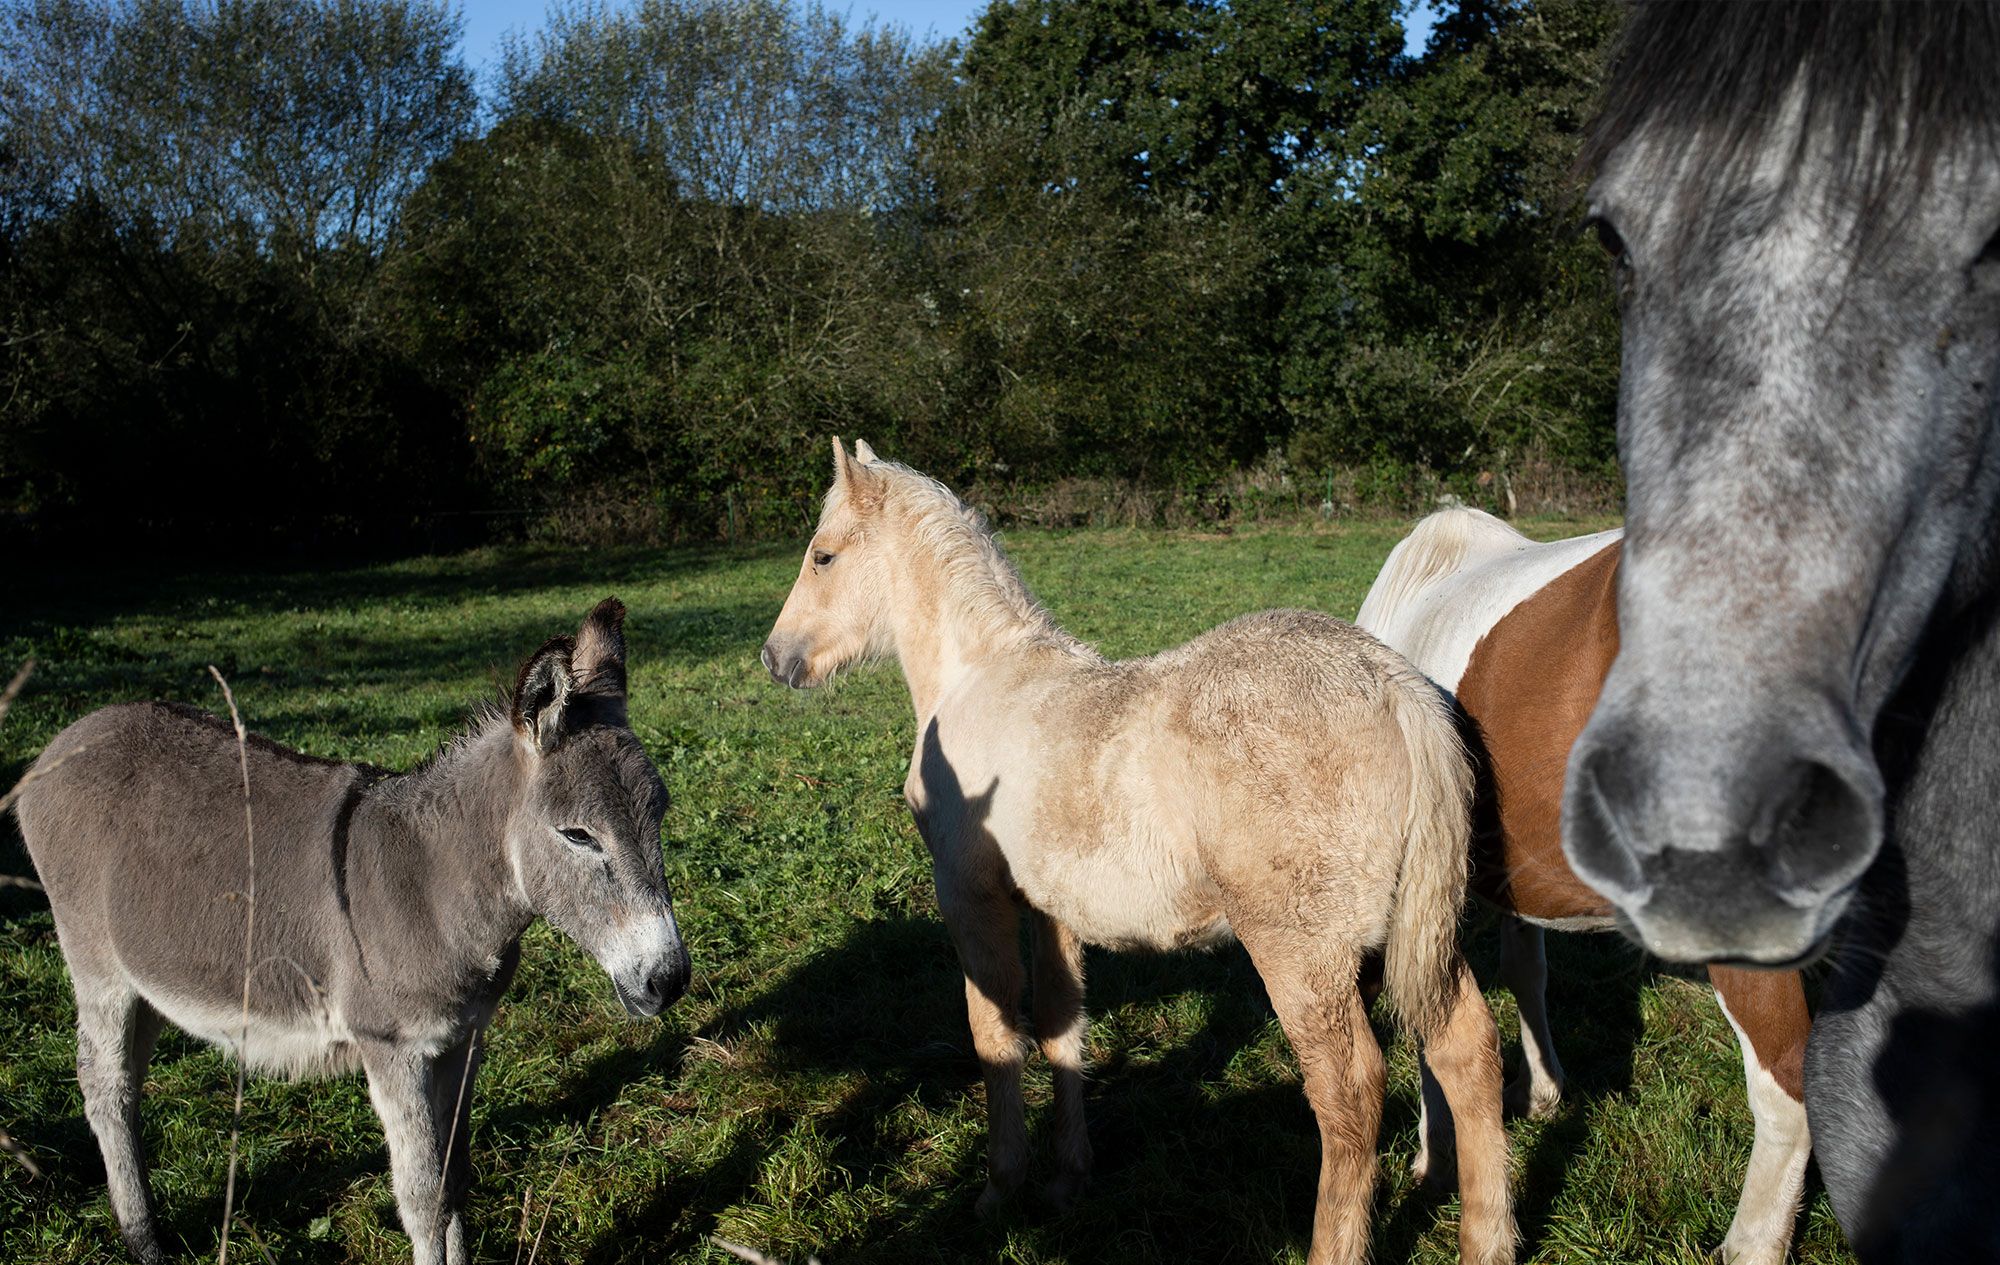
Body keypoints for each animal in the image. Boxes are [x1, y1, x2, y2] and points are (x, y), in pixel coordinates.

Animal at [15, 600, 692, 1265]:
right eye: (578, 836)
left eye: (660, 812)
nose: (668, 981)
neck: (435, 887)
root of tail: (67, 738)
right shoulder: (392, 1048)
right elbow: (422, 1200)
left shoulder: (462, 1040)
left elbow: (454, 1183)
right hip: (97, 967)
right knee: (105, 1088)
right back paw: (144, 1241)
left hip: (148, 979)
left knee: (129, 1080)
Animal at [764, 440, 1512, 1256]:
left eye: (823, 555)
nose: (776, 657)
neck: (980, 676)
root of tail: (1397, 688)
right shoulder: (1049, 906)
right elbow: (1061, 1025)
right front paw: (1068, 1179)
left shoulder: (969, 894)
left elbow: (994, 1035)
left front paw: (1000, 1187)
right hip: (1416, 932)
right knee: (1467, 1049)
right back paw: (1488, 1241)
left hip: (1304, 955)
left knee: (1348, 1093)